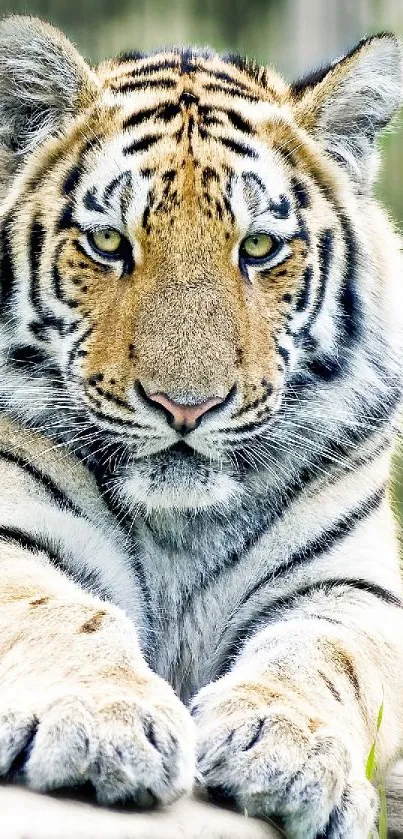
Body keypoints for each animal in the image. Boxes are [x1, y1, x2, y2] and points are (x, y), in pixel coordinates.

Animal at [0, 11, 400, 832]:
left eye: (259, 247)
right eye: (109, 242)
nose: (187, 406)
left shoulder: (352, 588)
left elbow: (323, 656)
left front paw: (287, 749)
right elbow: (63, 614)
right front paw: (104, 725)